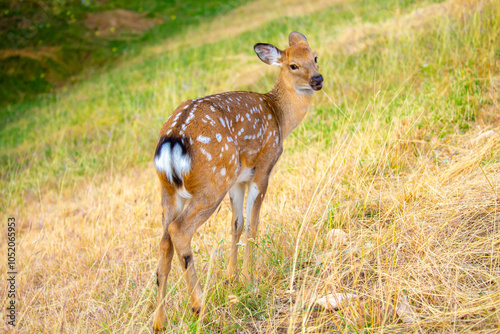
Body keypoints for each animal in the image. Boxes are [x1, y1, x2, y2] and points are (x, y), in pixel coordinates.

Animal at [152, 32, 322, 332]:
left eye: (314, 57)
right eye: (293, 65)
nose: (317, 79)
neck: (281, 119)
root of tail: (172, 140)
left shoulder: (237, 180)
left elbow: (236, 224)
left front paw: (231, 279)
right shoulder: (263, 167)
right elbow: (253, 225)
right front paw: (249, 280)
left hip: (171, 191)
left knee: (164, 241)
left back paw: (159, 321)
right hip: (212, 181)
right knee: (179, 231)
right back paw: (200, 307)